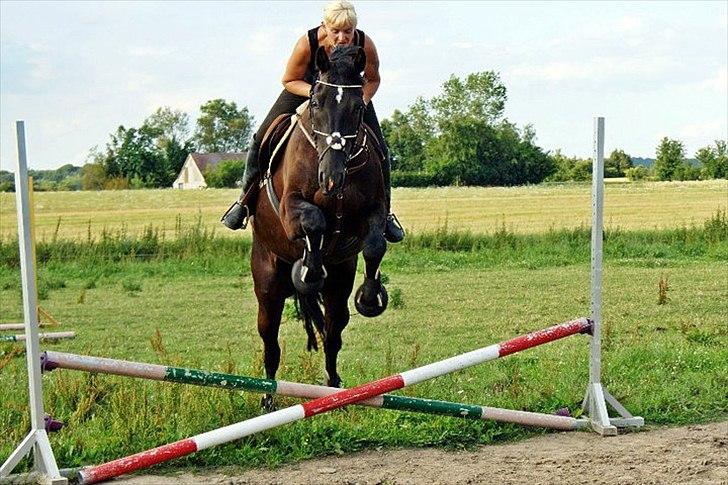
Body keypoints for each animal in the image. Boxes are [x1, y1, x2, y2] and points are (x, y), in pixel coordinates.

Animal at [249, 45, 390, 408]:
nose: (330, 178)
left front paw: (370, 297)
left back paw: (334, 388)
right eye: (315, 103)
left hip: (339, 282)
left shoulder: (374, 211)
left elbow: (375, 244)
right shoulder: (291, 209)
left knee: (332, 332)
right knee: (270, 342)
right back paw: (267, 398)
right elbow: (313, 221)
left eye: (358, 108)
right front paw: (309, 272)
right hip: (267, 284)